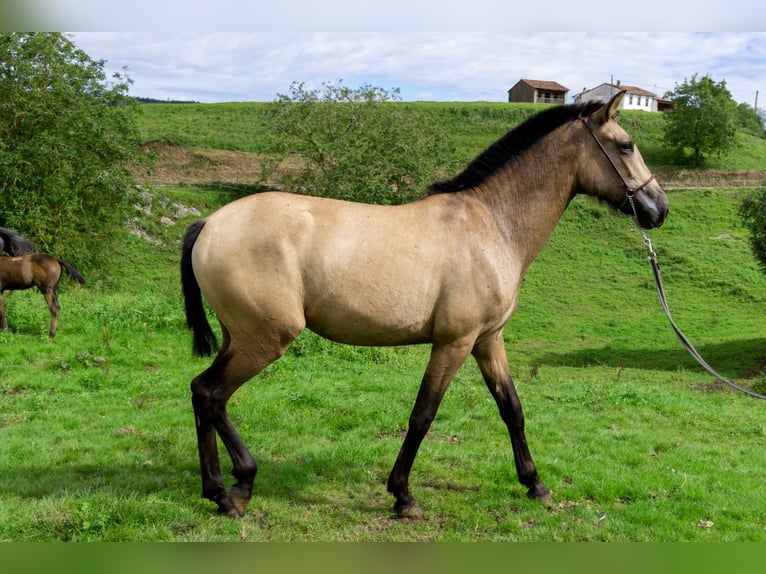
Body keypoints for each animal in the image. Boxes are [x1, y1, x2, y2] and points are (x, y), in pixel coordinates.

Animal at [183, 92, 668, 520]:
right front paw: (403, 496)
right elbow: (423, 415)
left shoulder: (488, 341)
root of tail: (210, 223)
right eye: (626, 145)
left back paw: (217, 489)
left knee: (201, 394)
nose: (659, 208)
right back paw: (238, 486)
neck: (490, 224)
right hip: (265, 339)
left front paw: (536, 484)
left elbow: (511, 408)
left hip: (238, 337)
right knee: (211, 394)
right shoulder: (454, 343)